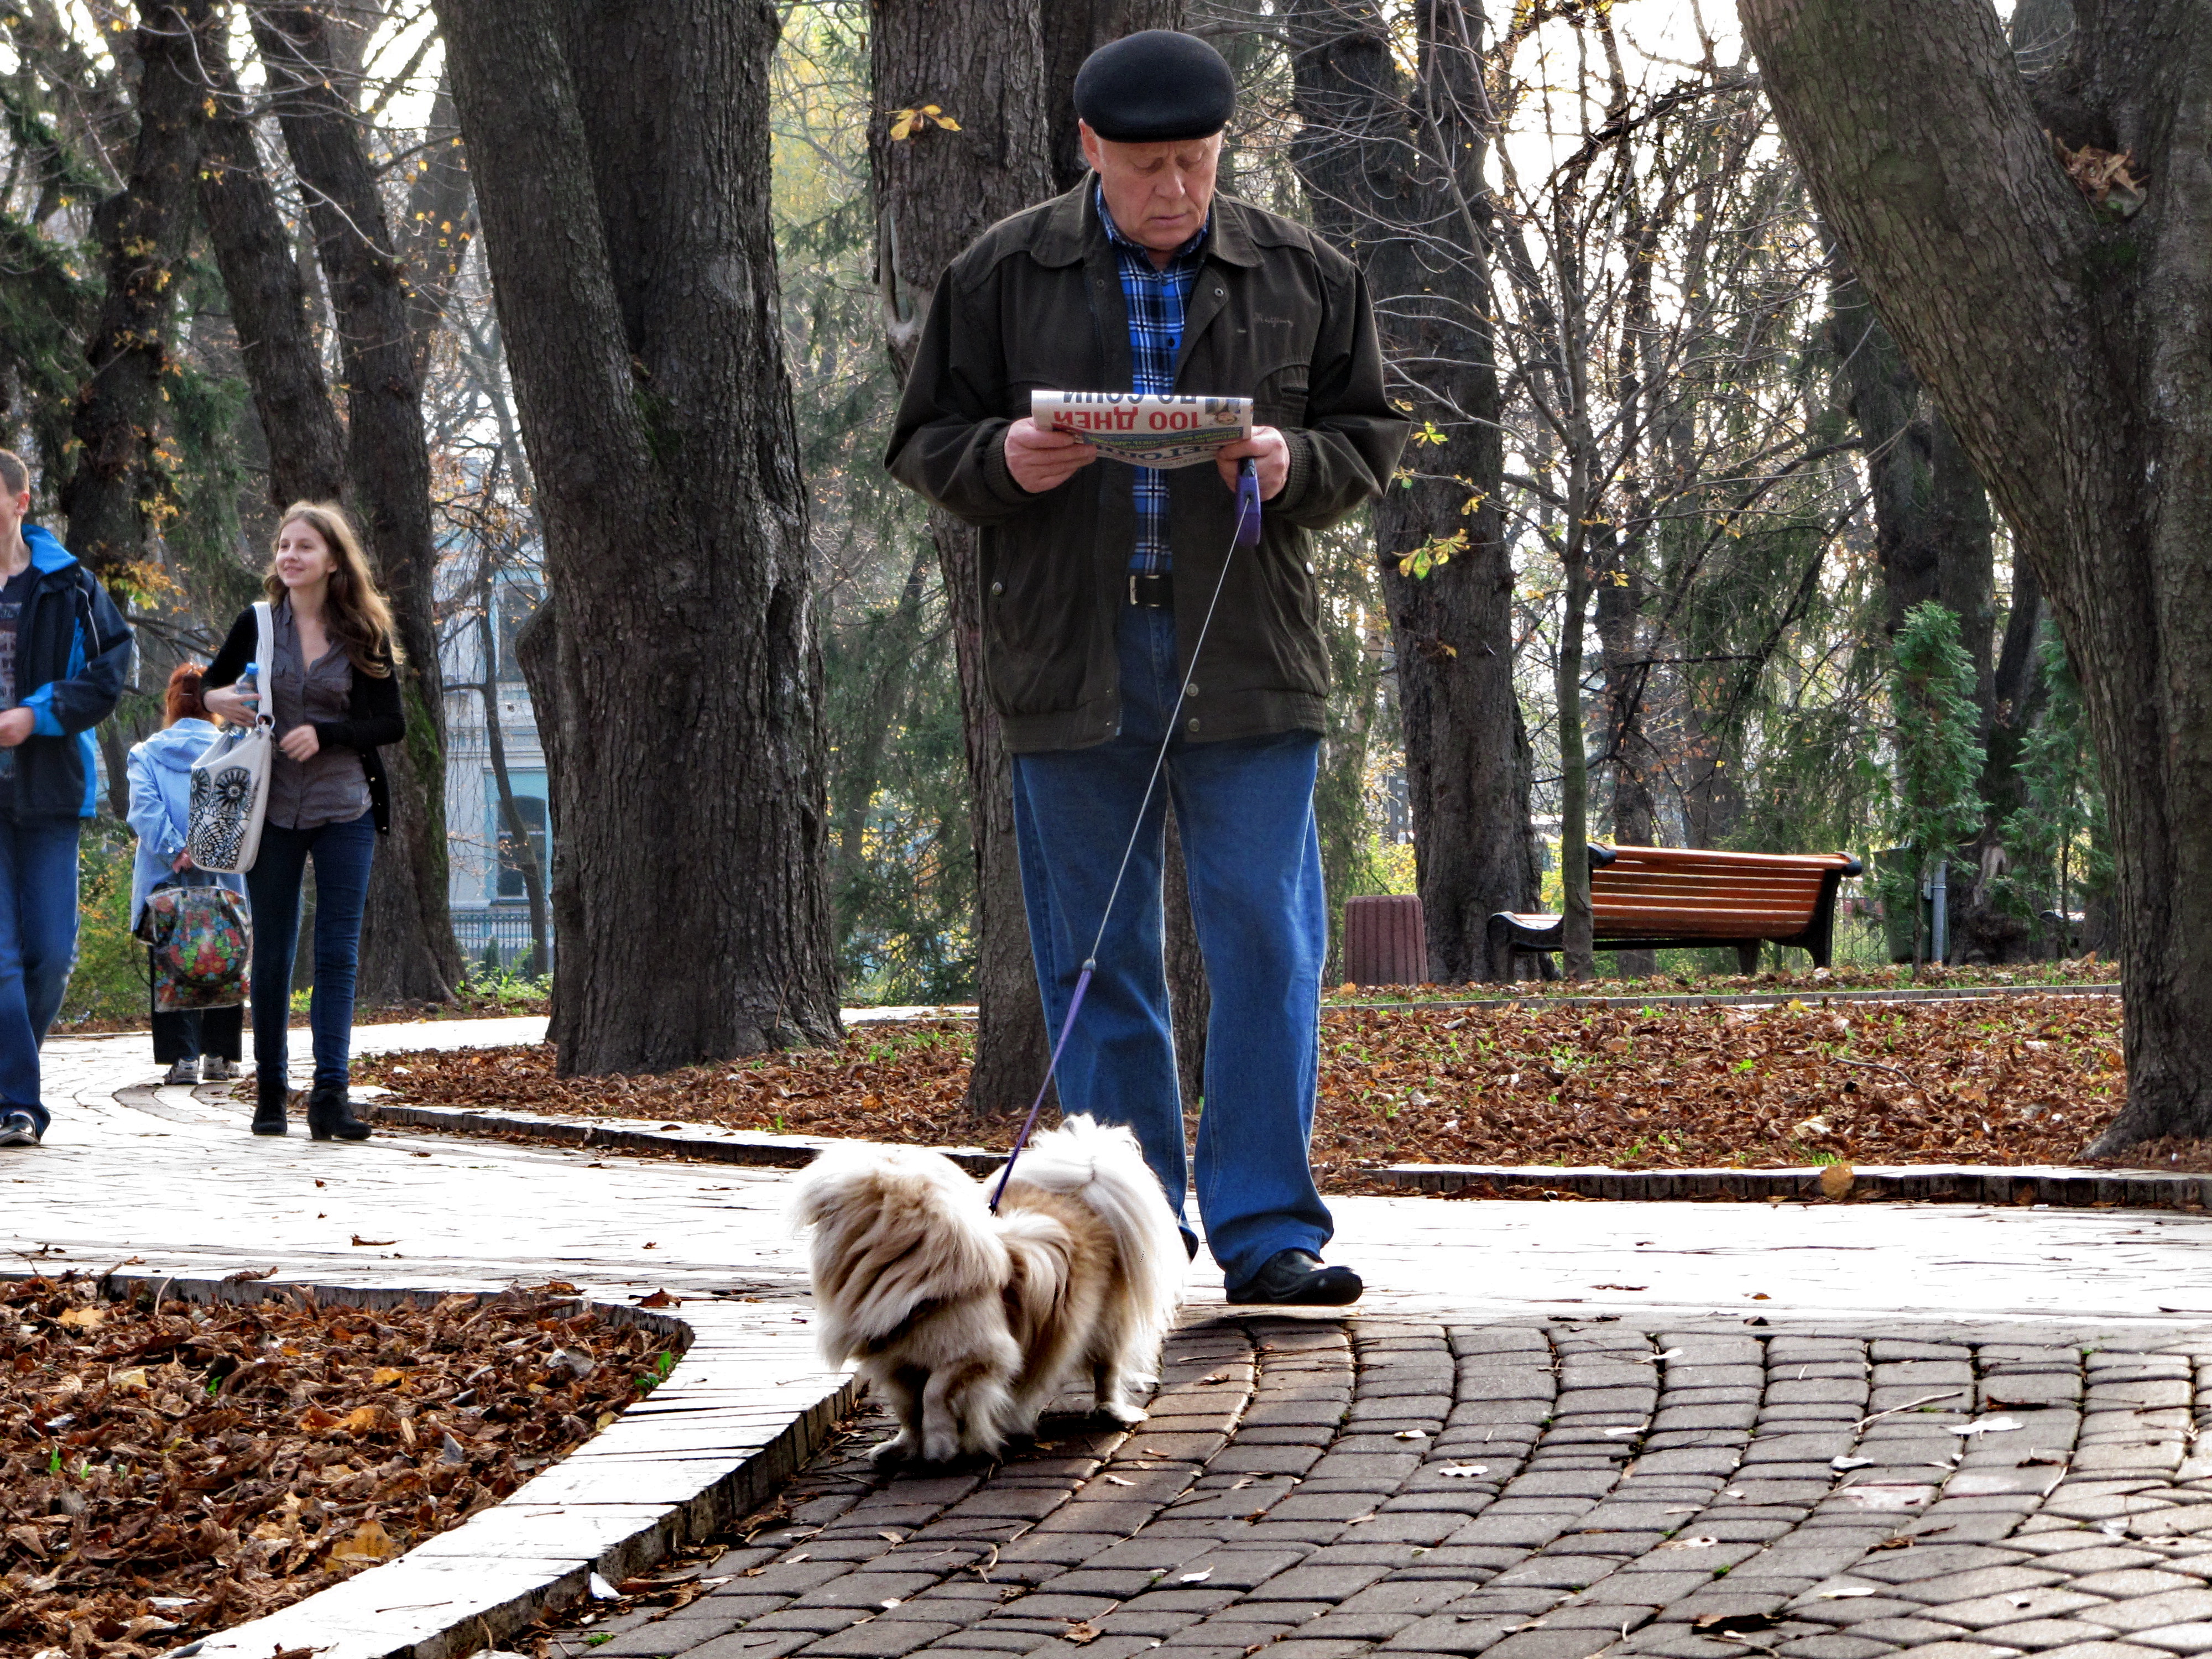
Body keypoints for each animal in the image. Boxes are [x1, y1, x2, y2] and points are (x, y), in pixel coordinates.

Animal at [787, 1119, 1186, 1469]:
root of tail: (1087, 1185)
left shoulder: (978, 1356)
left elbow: (934, 1394)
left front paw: (941, 1445)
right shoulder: (899, 1364)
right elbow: (909, 1410)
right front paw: (904, 1447)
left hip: (1107, 1326)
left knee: (1108, 1371)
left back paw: (1113, 1412)